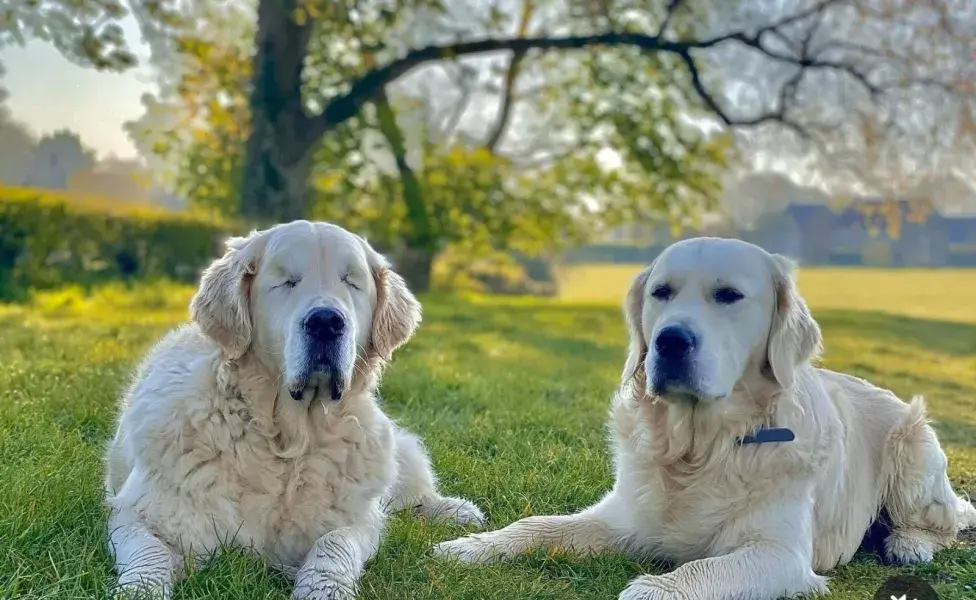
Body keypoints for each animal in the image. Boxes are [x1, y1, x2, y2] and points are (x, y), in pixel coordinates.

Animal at [104, 221, 484, 600]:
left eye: (351, 281)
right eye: (286, 281)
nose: (326, 322)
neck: (287, 438)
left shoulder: (357, 521)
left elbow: (335, 543)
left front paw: (323, 588)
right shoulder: (140, 515)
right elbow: (149, 555)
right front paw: (139, 590)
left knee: (412, 495)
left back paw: (457, 512)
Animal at [436, 237, 976, 596]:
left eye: (729, 296)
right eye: (661, 292)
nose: (670, 342)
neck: (699, 447)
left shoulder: (780, 554)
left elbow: (695, 572)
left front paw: (649, 588)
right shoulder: (625, 516)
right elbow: (539, 526)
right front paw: (473, 545)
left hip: (913, 447)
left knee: (941, 524)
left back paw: (908, 544)